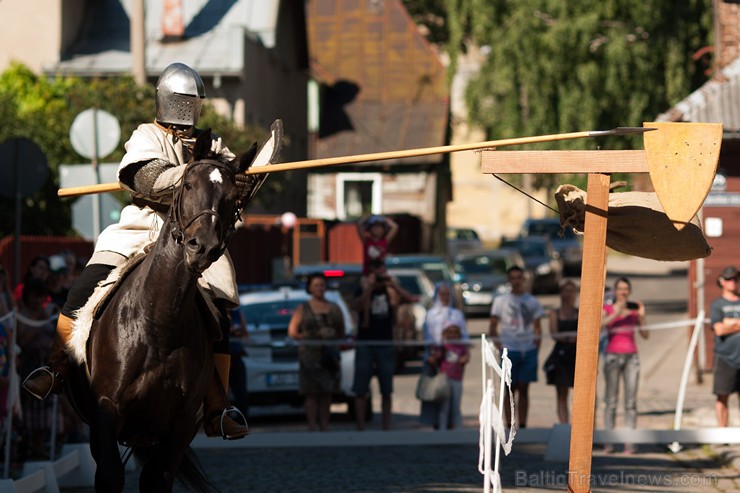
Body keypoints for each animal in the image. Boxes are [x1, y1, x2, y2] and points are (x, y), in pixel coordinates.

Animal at [68, 132, 254, 492]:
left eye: (232, 197)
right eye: (188, 185)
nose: (202, 247)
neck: (158, 324)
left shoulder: (180, 427)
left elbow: (157, 479)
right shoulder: (105, 414)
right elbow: (110, 474)